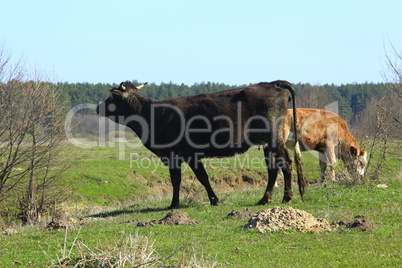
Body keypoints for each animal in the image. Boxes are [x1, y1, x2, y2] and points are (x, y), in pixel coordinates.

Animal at [96, 80, 306, 208]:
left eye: (111, 97)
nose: (98, 107)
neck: (151, 113)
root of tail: (272, 83)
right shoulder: (185, 155)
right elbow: (196, 177)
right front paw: (210, 200)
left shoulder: (177, 154)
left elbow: (185, 179)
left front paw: (177, 204)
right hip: (267, 144)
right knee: (273, 169)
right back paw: (264, 199)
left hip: (275, 140)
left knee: (286, 164)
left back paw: (287, 197)